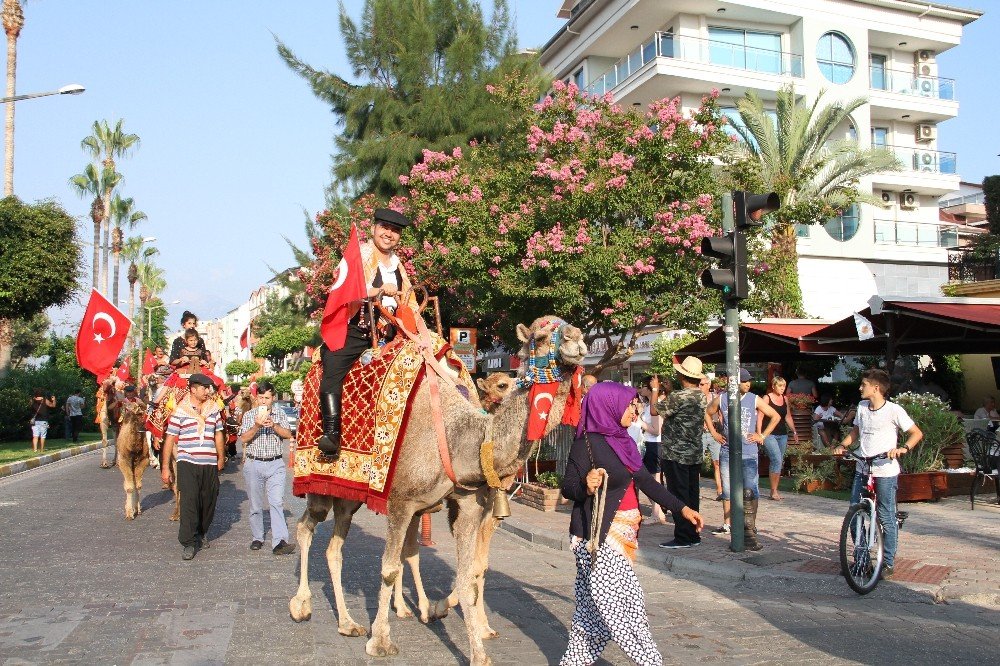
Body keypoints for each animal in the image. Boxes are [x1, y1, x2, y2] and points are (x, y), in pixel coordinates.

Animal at [290, 316, 584, 664]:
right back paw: (301, 606)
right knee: (305, 527)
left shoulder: (468, 506)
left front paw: (477, 652)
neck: (460, 438)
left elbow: (468, 575)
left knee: (334, 548)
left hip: (349, 498)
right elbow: (389, 568)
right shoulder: (401, 502)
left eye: (571, 326)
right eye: (540, 336)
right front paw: (381, 641)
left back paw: (348, 623)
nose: (577, 340)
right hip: (319, 482)